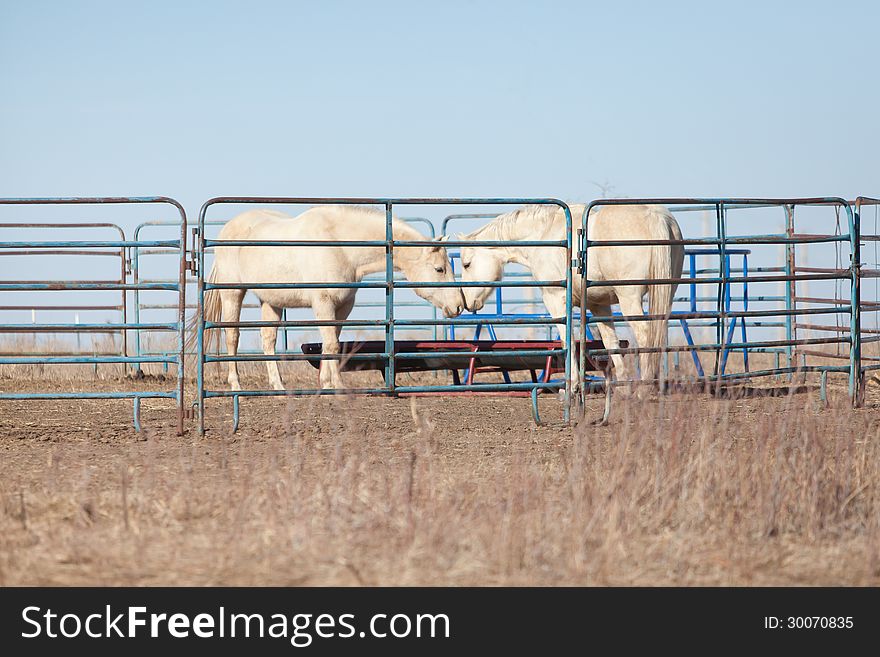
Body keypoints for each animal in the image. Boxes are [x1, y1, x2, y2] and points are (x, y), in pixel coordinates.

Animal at [198, 205, 460, 390]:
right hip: (233, 293)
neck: (341, 246)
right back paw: (236, 385)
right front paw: (338, 386)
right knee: (232, 337)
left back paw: (278, 386)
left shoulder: (343, 306)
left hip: (271, 301)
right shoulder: (323, 303)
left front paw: (326, 383)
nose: (458, 305)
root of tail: (226, 230)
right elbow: (332, 343)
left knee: (268, 340)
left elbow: (331, 342)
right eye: (439, 269)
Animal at [458, 205, 684, 386]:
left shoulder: (555, 300)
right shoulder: (599, 305)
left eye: (466, 264)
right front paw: (622, 385)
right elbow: (610, 342)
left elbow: (568, 340)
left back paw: (646, 385)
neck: (544, 233)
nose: (466, 303)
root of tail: (656, 217)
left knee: (646, 333)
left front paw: (573, 384)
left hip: (630, 299)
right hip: (665, 294)